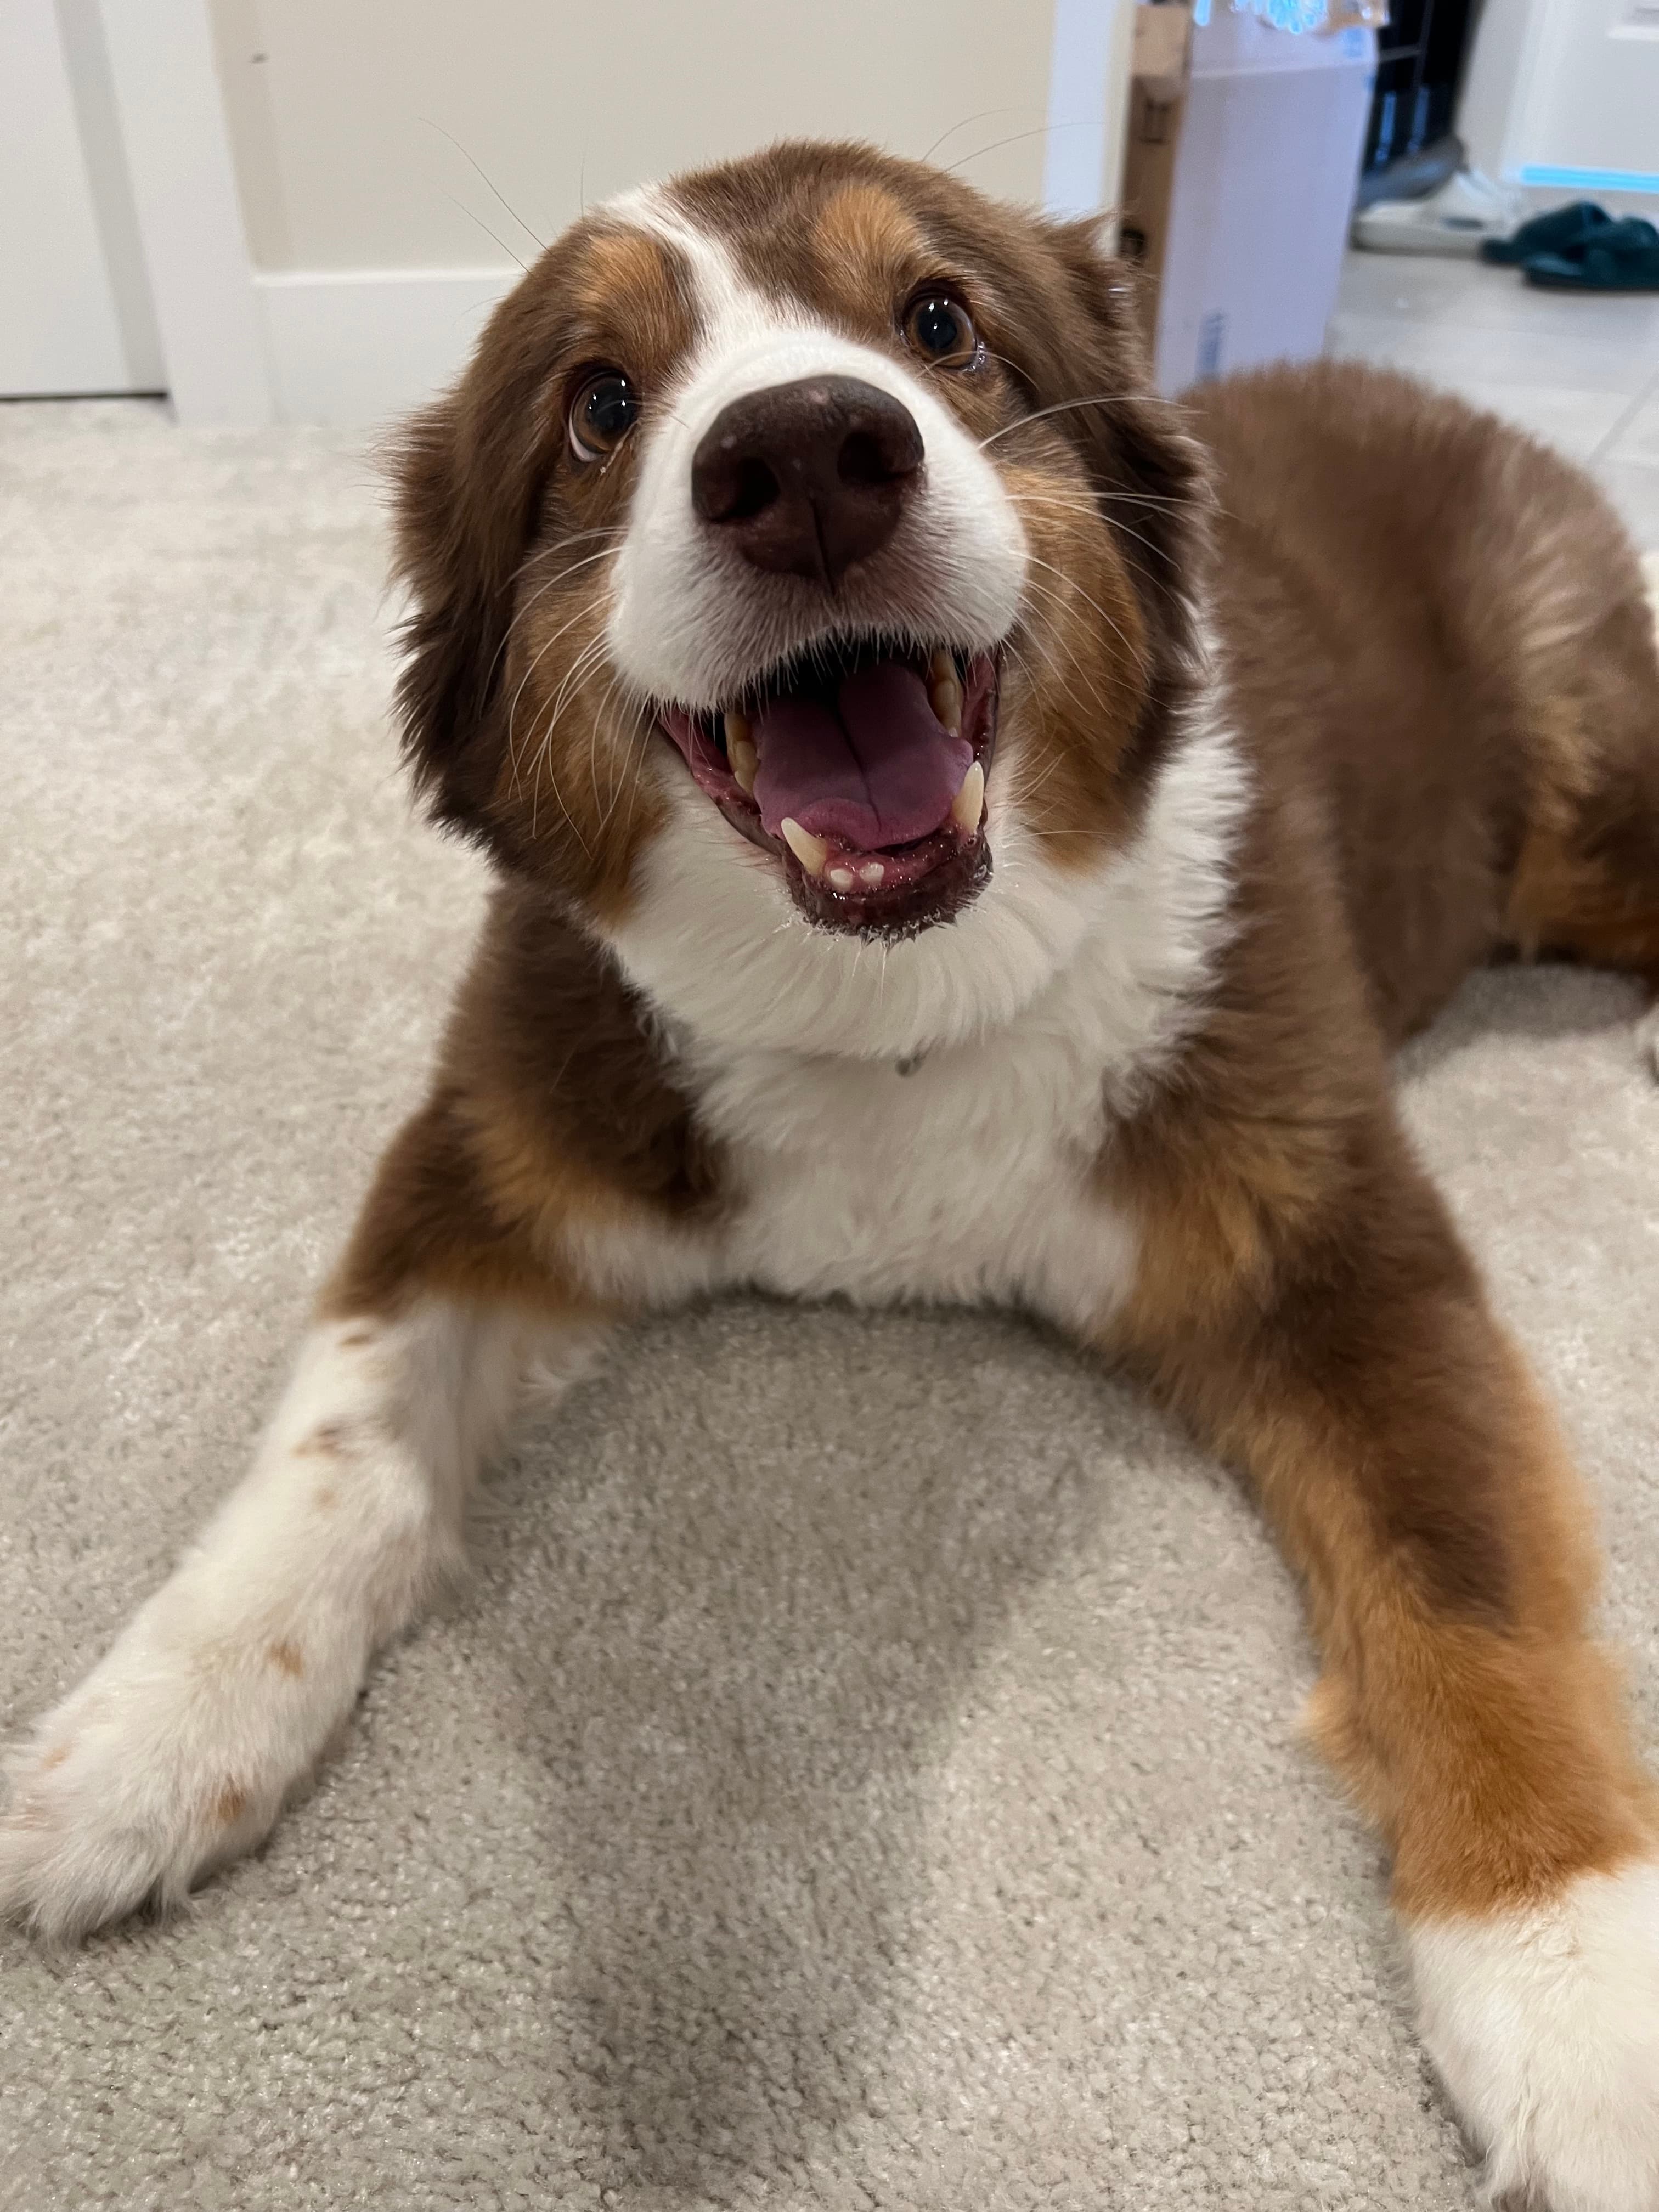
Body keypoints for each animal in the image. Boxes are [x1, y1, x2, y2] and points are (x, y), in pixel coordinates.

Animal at [3, 147, 1659, 2203]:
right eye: (598, 406)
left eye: (940, 320)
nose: (804, 458)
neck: (891, 1002)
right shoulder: (498, 1143)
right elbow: (335, 1445)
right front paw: (156, 1727)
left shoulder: (1338, 1228)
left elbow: (1464, 1586)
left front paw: (1570, 1980)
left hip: (1576, 787)